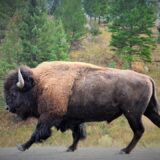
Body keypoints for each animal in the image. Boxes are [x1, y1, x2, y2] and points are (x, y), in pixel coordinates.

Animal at [3, 61, 160, 154]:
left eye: (14, 92)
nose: (7, 108)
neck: (40, 84)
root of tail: (147, 78)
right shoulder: (73, 118)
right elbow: (77, 134)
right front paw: (71, 148)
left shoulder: (49, 116)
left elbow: (37, 133)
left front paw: (21, 146)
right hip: (148, 111)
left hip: (132, 114)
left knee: (138, 130)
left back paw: (124, 150)